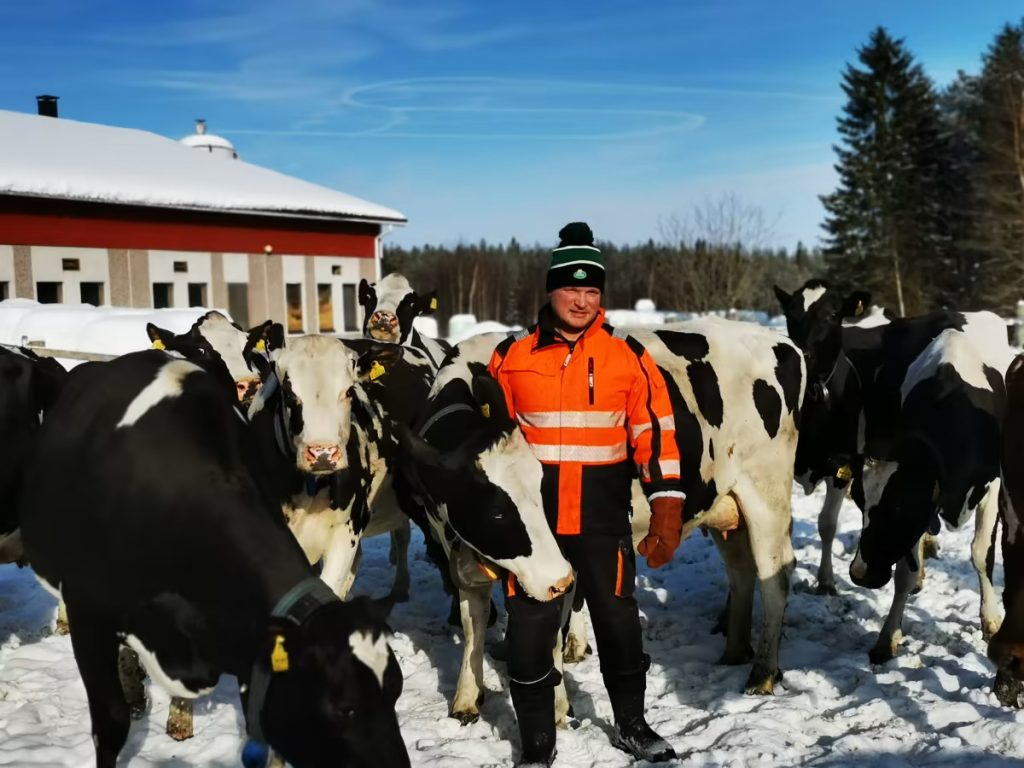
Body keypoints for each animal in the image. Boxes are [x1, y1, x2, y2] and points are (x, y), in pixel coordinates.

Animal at [847, 319, 1015, 663]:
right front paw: (887, 637)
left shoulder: (993, 486)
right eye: (858, 502)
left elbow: (982, 554)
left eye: (900, 507)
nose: (860, 574)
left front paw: (991, 620)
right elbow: (903, 575)